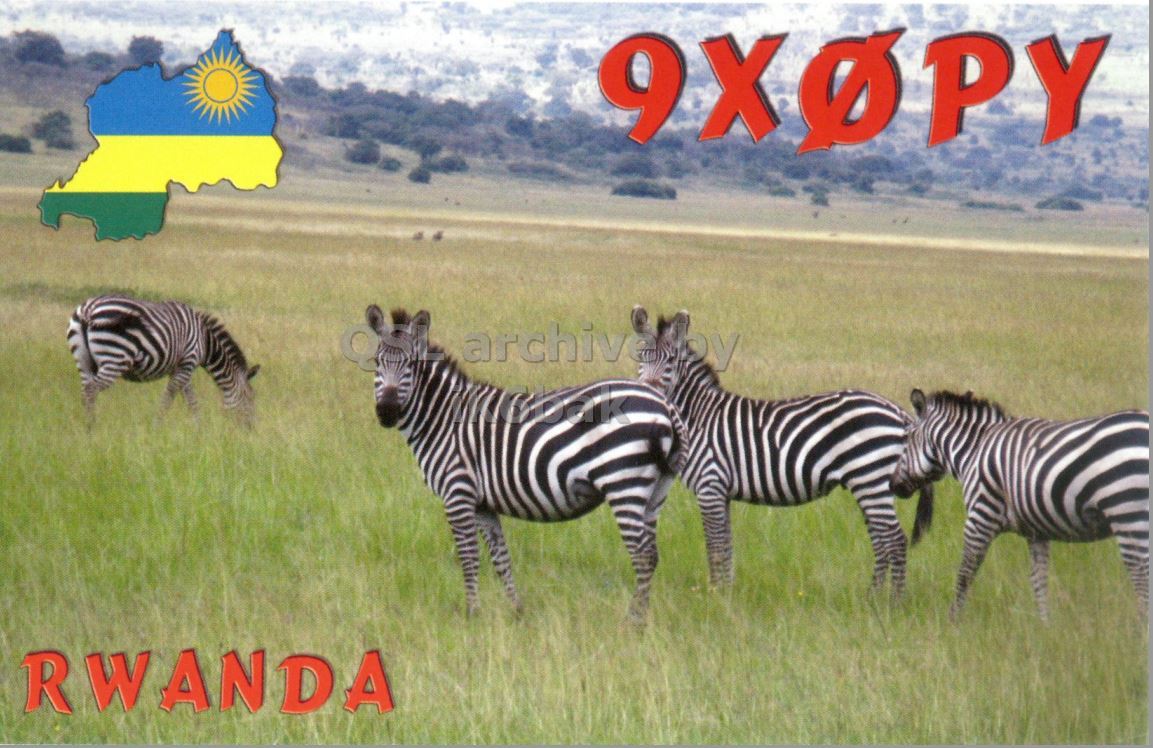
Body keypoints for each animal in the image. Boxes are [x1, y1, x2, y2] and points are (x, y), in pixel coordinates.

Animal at [68, 294, 260, 426]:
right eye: (250, 397)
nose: (250, 428)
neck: (205, 341)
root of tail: (88, 309)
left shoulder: (181, 366)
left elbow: (190, 398)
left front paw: (199, 428)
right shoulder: (188, 360)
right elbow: (170, 395)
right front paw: (157, 425)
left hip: (83, 361)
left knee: (85, 390)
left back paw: (88, 427)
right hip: (115, 357)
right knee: (91, 390)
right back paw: (92, 427)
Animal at [364, 305, 686, 622]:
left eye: (409, 365)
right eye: (377, 363)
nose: (386, 412)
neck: (444, 418)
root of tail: (663, 403)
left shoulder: (458, 492)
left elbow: (469, 558)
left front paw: (472, 613)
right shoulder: (483, 504)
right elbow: (500, 558)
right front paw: (516, 611)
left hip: (624, 482)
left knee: (642, 555)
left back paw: (634, 622)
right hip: (656, 489)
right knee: (652, 554)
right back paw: (640, 616)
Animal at [630, 307, 934, 595]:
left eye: (671, 361)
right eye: (641, 359)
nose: (649, 391)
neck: (697, 416)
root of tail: (898, 411)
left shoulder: (710, 486)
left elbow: (715, 549)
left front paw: (714, 596)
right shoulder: (721, 492)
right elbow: (726, 548)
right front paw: (727, 594)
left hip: (870, 477)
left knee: (895, 540)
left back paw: (893, 601)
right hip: (871, 484)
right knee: (882, 541)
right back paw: (873, 597)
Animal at [891, 388, 1149, 620]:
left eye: (907, 438)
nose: (893, 486)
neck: (973, 451)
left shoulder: (980, 516)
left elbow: (965, 572)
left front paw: (952, 622)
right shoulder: (1037, 530)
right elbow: (1038, 578)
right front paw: (1045, 626)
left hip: (1127, 513)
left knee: (1141, 580)